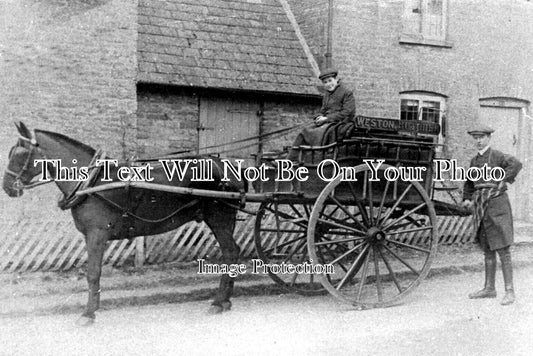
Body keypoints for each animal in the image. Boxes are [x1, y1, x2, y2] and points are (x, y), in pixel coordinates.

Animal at [3, 122, 244, 326]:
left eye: (20, 153)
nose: (7, 187)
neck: (91, 182)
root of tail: (227, 166)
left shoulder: (97, 234)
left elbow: (93, 273)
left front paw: (87, 314)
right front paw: (94, 307)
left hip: (220, 219)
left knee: (230, 252)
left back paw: (218, 302)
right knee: (232, 252)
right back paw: (226, 301)